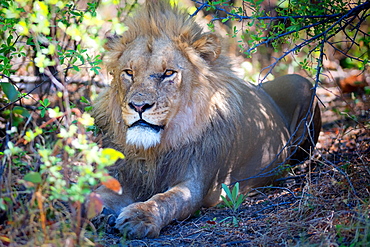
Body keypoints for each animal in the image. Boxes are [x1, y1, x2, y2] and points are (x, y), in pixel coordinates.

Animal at [92, 0, 320, 239]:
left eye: (168, 73)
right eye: (128, 72)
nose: (138, 106)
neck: (156, 149)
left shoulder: (195, 184)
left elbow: (167, 200)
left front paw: (140, 217)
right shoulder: (128, 175)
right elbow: (100, 193)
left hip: (301, 84)